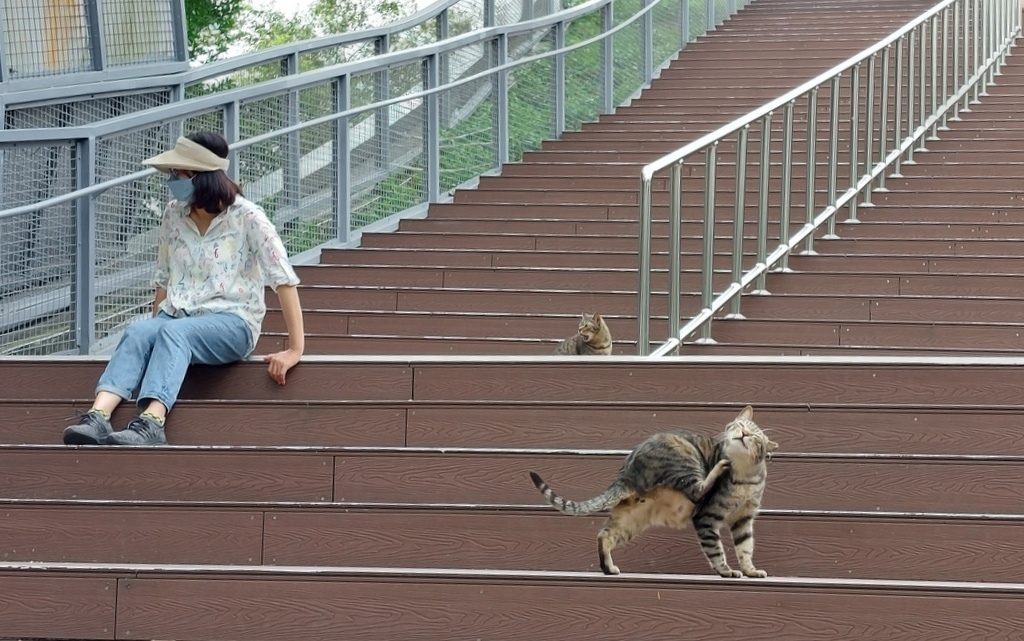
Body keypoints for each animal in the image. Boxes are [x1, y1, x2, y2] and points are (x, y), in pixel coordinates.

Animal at [528, 407, 774, 577]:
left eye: (755, 436)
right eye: (740, 424)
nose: (744, 433)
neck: (746, 476)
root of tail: (627, 472)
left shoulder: (744, 519)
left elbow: (745, 548)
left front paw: (750, 570)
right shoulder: (707, 517)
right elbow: (716, 550)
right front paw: (725, 571)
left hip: (631, 520)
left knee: (604, 535)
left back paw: (608, 568)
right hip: (685, 462)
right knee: (697, 490)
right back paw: (719, 467)